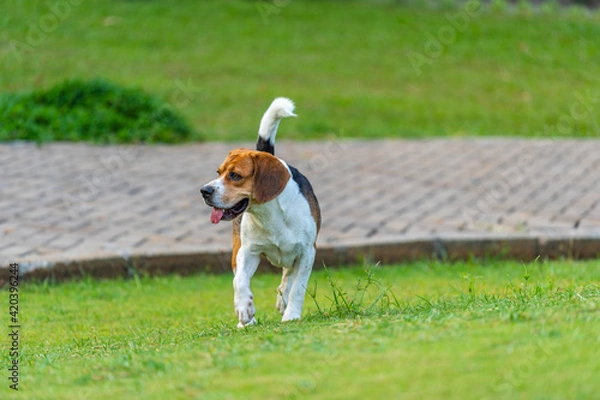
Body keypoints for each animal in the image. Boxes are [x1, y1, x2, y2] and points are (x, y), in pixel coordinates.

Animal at [202, 97, 322, 328]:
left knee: (288, 276)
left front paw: (291, 315)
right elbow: (239, 281)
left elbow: (298, 287)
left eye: (235, 175)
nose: (204, 191)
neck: (270, 216)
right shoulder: (247, 251)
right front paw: (244, 309)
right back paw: (247, 320)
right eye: (218, 173)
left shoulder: (307, 253)